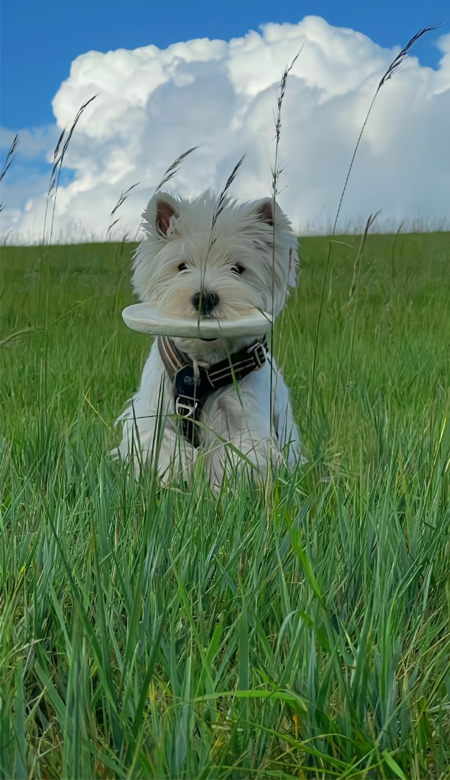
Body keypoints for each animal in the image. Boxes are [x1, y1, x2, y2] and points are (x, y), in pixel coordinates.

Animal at [115, 189, 302, 488]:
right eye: (182, 266)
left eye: (238, 268)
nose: (205, 298)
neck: (200, 370)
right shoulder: (152, 413)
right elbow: (164, 448)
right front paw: (175, 478)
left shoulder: (244, 421)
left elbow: (236, 460)